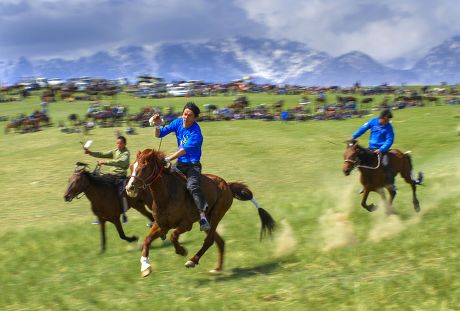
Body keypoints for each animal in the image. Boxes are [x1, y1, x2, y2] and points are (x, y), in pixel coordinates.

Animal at [126, 149, 274, 278]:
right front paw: (145, 267)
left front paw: (182, 251)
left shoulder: (186, 224)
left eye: (144, 167)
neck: (167, 195)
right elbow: (147, 240)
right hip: (208, 220)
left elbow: (173, 236)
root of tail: (227, 185)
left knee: (209, 240)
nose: (129, 188)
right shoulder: (162, 225)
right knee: (219, 241)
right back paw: (217, 269)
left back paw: (192, 260)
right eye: (131, 166)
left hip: (216, 215)